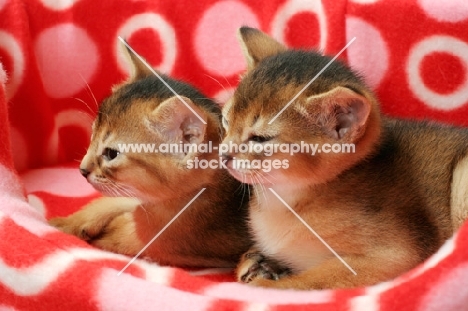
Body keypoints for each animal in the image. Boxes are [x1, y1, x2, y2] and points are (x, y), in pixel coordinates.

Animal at [49, 43, 250, 268]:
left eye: (111, 153)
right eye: (92, 136)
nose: (82, 170)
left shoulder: (159, 242)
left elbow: (123, 236)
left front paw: (101, 232)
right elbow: (112, 201)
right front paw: (70, 221)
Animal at [221, 28, 468, 292]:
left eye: (260, 139)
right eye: (226, 121)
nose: (223, 154)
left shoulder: (396, 255)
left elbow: (312, 281)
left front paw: (266, 284)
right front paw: (260, 262)